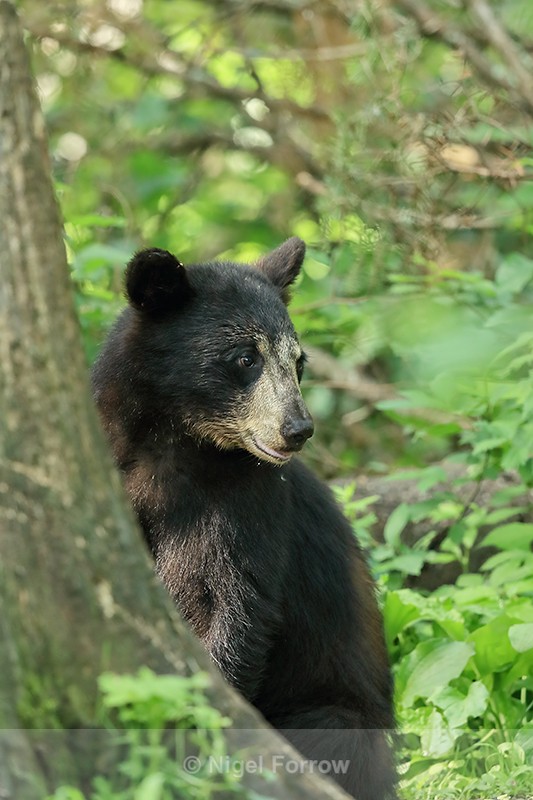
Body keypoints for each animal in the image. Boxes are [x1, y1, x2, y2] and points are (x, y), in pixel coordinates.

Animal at [92, 237, 396, 800]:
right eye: (245, 357)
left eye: (299, 361)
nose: (298, 428)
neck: (173, 448)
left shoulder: (246, 505)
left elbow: (236, 605)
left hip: (334, 715)